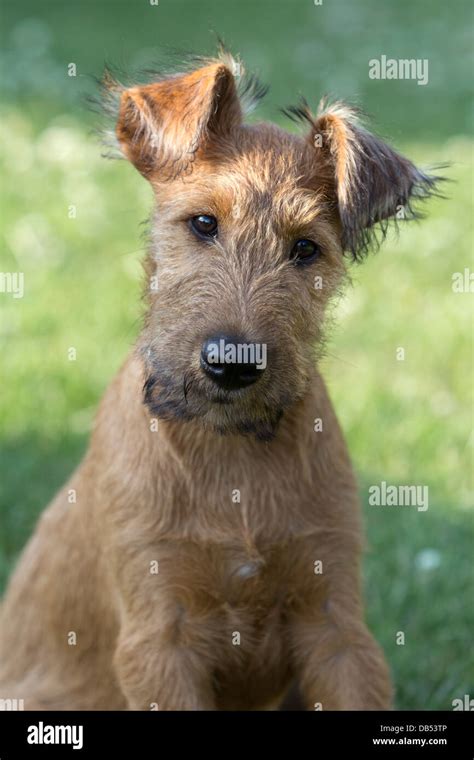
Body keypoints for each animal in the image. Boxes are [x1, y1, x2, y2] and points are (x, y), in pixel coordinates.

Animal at [0, 50, 440, 708]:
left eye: (306, 249)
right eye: (203, 223)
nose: (233, 361)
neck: (231, 447)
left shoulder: (336, 623)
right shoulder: (159, 636)